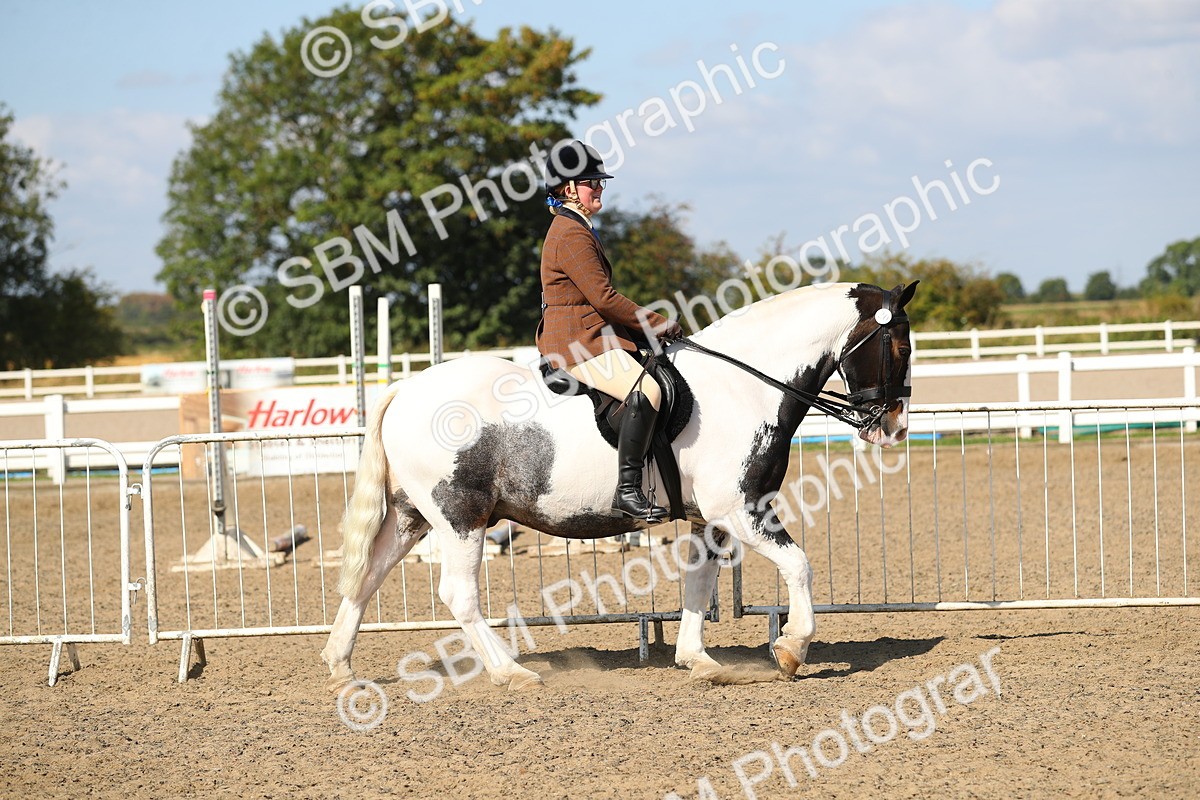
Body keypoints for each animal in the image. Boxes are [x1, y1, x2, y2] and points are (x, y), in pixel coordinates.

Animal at [321, 281, 917, 691]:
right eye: (901, 348)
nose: (894, 428)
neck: (742, 386)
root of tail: (405, 388)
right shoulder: (740, 509)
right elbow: (799, 565)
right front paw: (792, 648)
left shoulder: (709, 519)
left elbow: (698, 585)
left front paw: (698, 660)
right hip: (460, 517)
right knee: (457, 594)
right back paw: (510, 672)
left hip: (412, 516)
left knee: (368, 576)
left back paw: (340, 666)